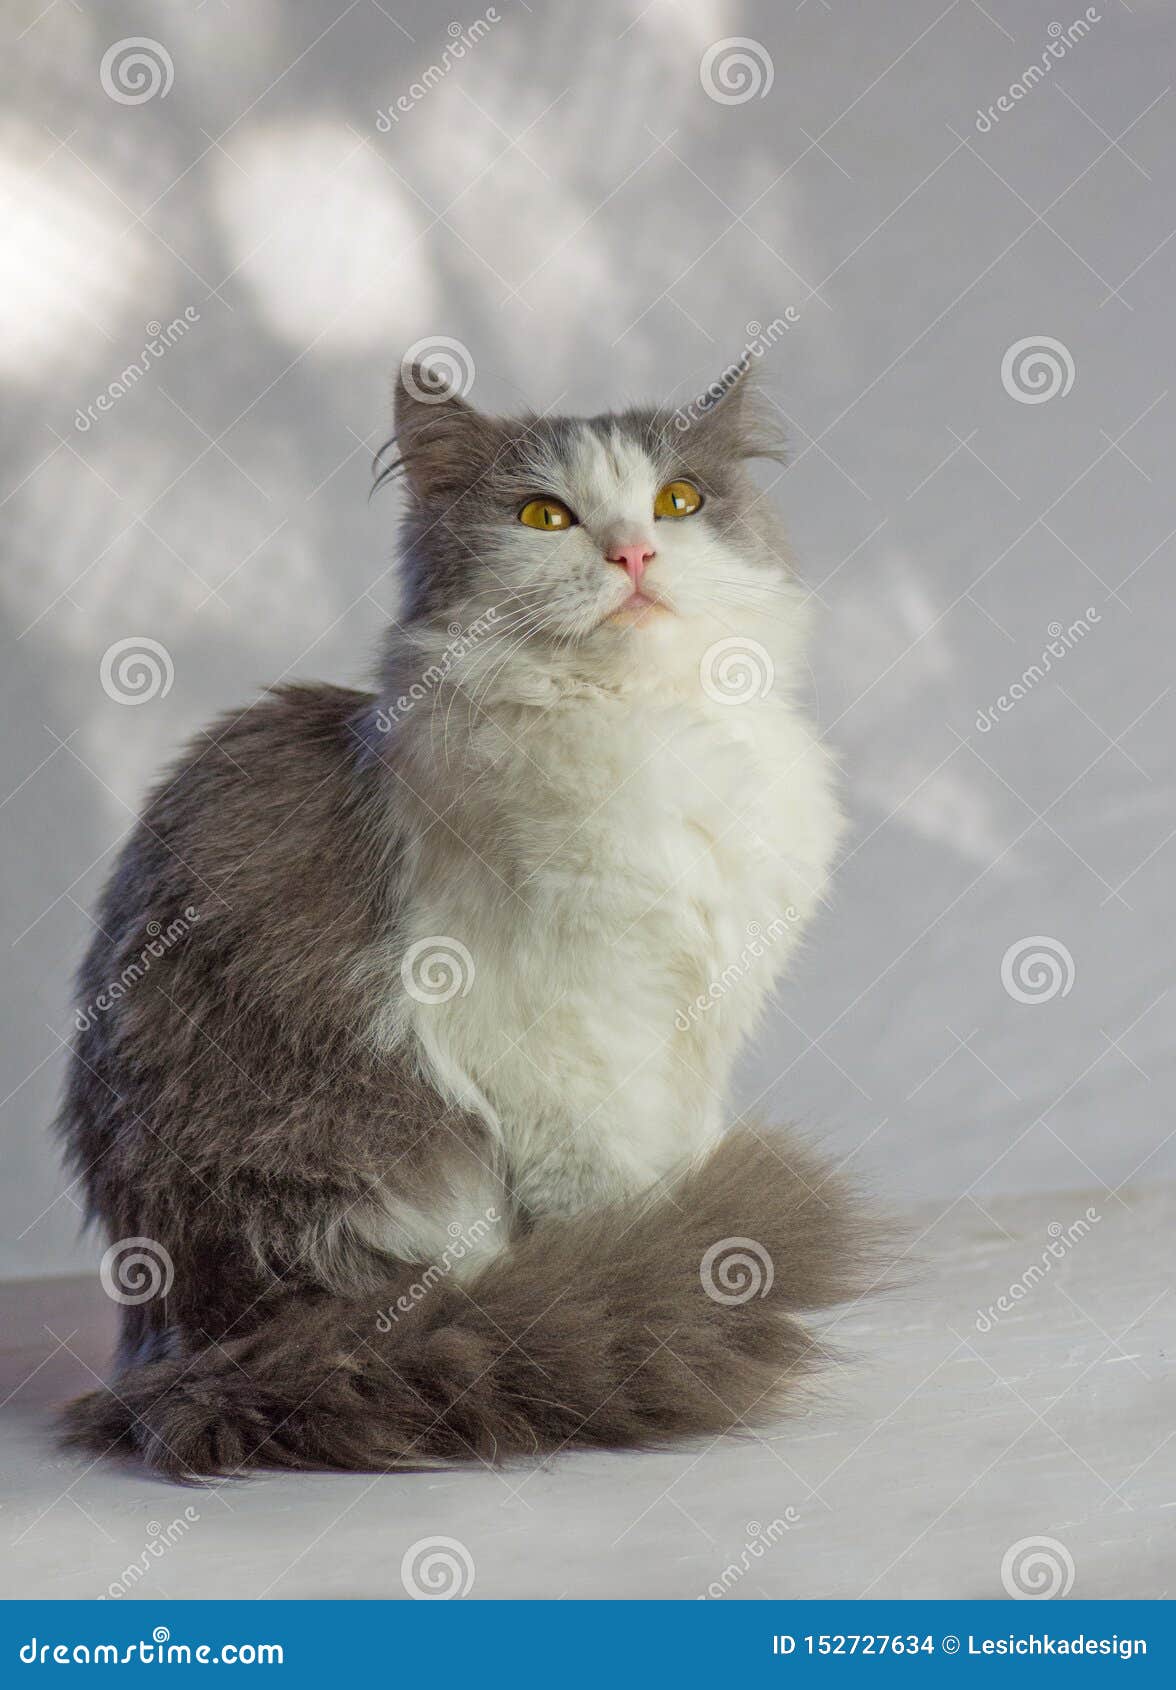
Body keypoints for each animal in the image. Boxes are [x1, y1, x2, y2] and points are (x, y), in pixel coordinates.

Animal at [59, 356, 878, 1480]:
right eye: (544, 515)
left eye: (680, 500)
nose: (633, 553)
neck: (652, 732)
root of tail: (191, 1351)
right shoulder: (558, 1045)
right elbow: (609, 1199)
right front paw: (654, 1273)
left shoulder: (693, 1032)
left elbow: (678, 1171)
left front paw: (712, 1266)